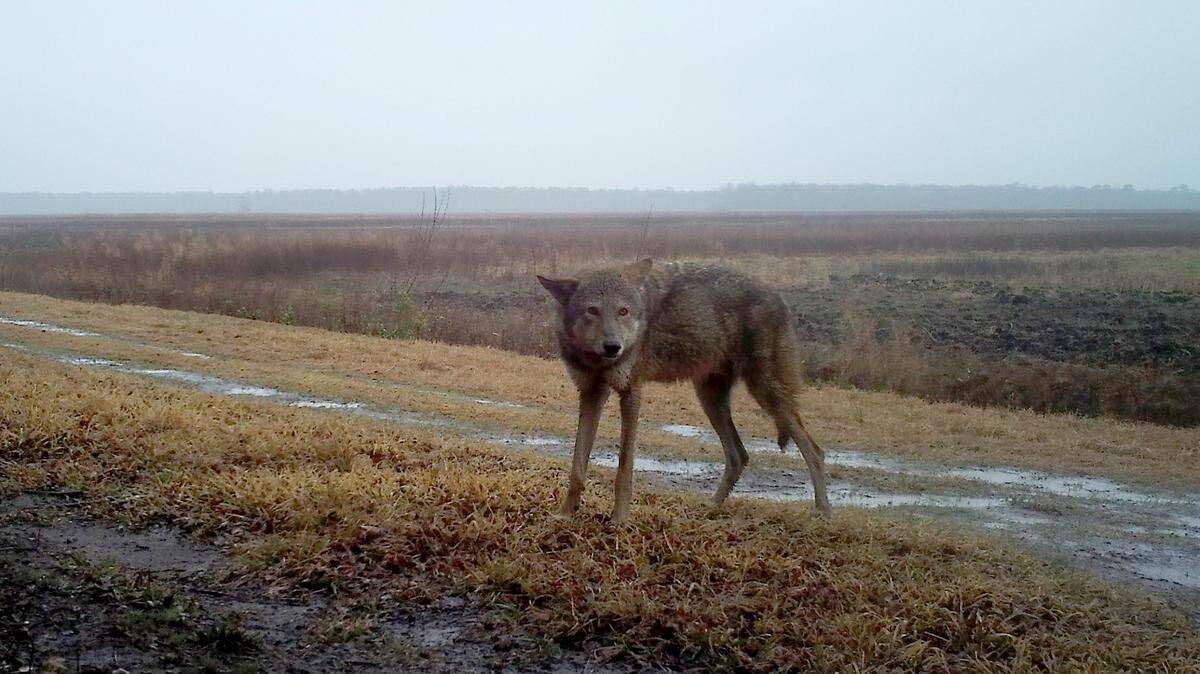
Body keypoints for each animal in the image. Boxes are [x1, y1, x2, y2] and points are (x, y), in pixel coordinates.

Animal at [537, 259, 830, 523]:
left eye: (623, 311)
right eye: (592, 310)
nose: (613, 347)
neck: (595, 360)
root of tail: (778, 295)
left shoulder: (631, 394)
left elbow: (624, 468)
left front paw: (619, 520)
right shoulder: (590, 394)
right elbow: (577, 465)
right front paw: (565, 514)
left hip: (767, 395)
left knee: (815, 452)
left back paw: (823, 513)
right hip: (711, 400)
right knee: (739, 456)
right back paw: (710, 507)